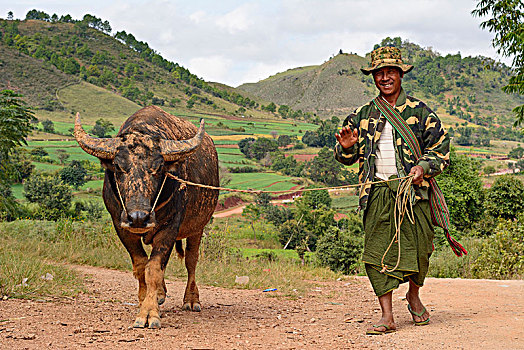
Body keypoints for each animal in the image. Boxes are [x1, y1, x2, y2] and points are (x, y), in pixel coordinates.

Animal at [74, 106, 219, 328]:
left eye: (158, 168)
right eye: (118, 166)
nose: (138, 218)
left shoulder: (170, 226)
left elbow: (154, 268)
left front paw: (149, 313)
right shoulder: (121, 226)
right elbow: (142, 265)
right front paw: (146, 300)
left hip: (198, 226)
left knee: (191, 261)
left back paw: (191, 299)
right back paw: (160, 294)